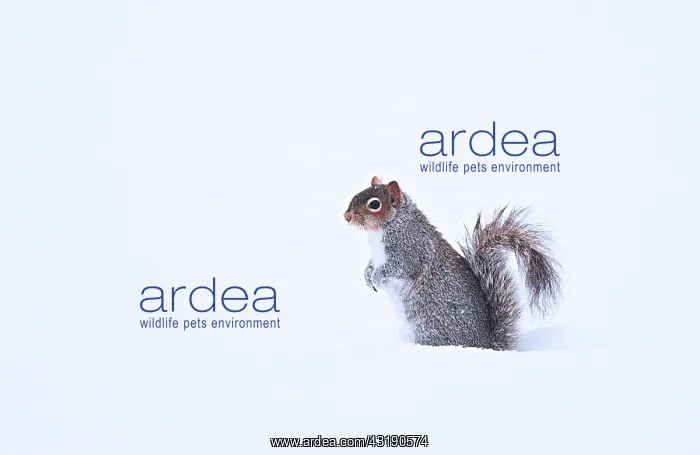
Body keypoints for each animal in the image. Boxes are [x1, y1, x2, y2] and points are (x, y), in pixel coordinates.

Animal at [343, 176, 562, 351]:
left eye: (374, 204)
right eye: (357, 193)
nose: (347, 217)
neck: (387, 227)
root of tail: (484, 345)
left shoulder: (410, 249)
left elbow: (399, 267)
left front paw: (376, 276)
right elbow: (371, 265)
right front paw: (367, 274)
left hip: (427, 327)